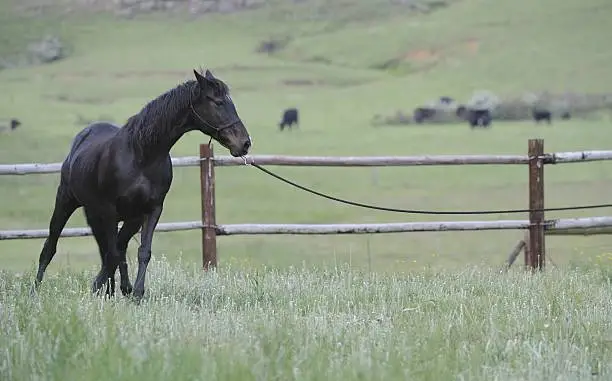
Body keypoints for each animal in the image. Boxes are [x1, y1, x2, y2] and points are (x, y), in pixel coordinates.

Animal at [32, 69, 252, 300]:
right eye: (218, 102)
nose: (245, 143)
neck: (142, 155)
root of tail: (84, 135)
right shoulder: (109, 211)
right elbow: (113, 253)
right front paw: (100, 287)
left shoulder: (151, 210)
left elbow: (141, 252)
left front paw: (135, 293)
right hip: (67, 201)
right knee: (52, 246)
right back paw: (35, 291)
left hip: (117, 217)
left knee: (114, 247)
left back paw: (115, 289)